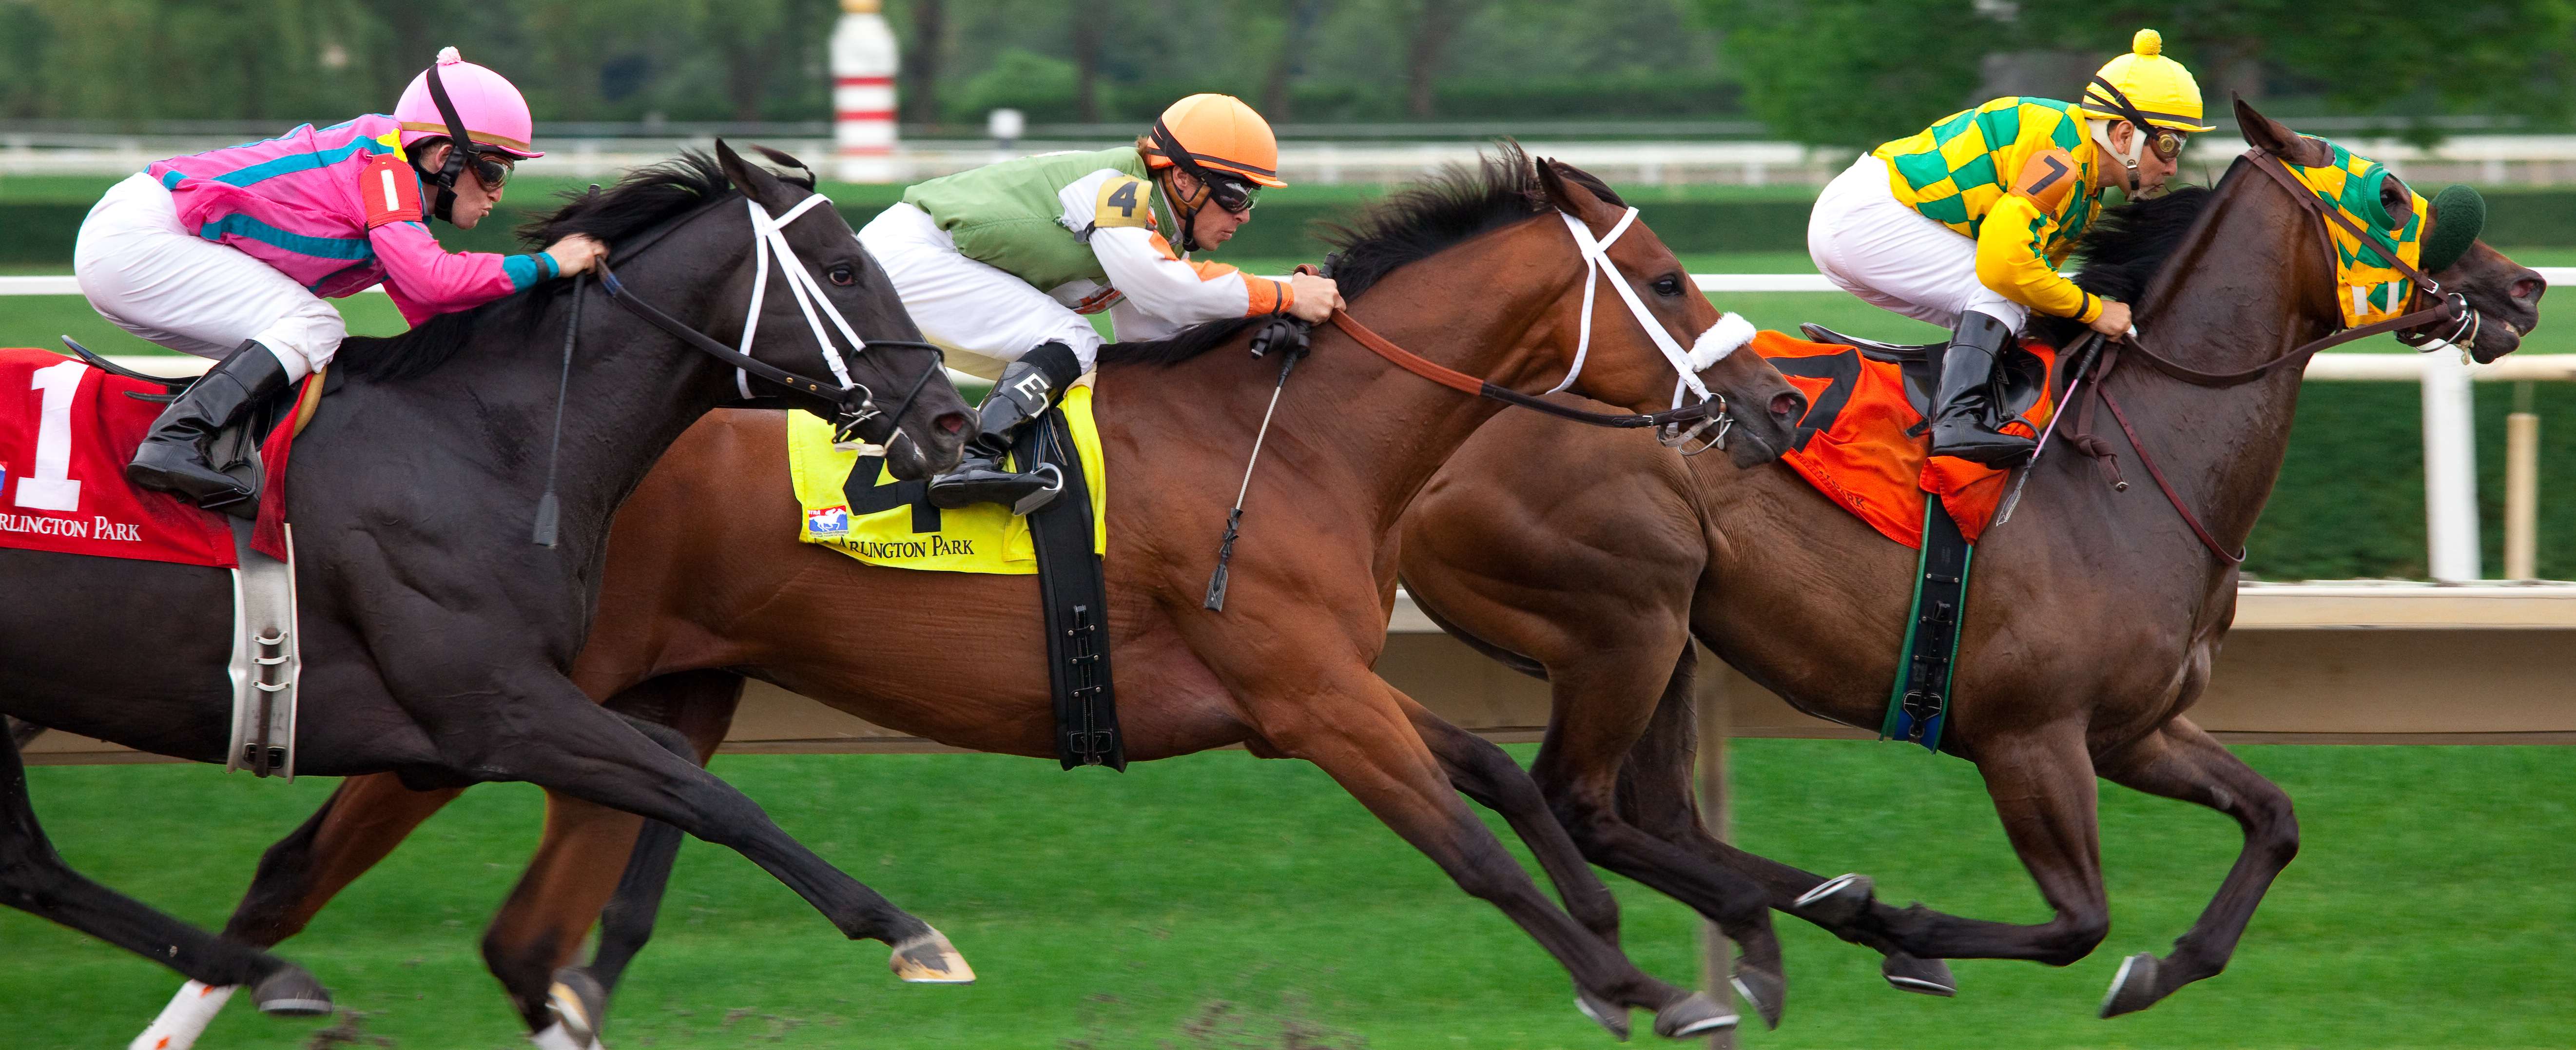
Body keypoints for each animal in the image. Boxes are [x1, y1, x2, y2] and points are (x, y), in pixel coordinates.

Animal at [0, 139, 973, 1024]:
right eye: (845, 269)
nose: (951, 420)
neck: (483, 441)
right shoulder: (492, 710)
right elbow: (714, 795)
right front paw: (908, 931)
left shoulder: (497, 713)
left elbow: (678, 763)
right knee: (29, 864)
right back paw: (273, 974)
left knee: (29, 866)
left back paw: (270, 974)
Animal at [121, 145, 1813, 1039]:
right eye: (1670, 282)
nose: (1779, 409)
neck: (1297, 438)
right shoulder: (1309, 696)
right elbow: (1465, 844)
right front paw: (1642, 980)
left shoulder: (1320, 683)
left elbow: (1495, 781)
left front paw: (1649, 923)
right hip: (491, 699)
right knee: (306, 868)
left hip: (649, 699)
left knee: (499, 922)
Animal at [1391, 98, 2535, 1019]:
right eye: (2391, 192)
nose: (2523, 286)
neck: (2134, 456)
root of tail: (1449, 429)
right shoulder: (2027, 736)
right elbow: (2077, 921)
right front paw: (1919, 935)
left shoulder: (2133, 729)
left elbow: (2274, 820)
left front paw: (2160, 969)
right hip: (1622, 618)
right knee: (1576, 800)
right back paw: (1807, 916)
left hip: (1669, 636)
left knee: (1655, 812)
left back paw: (1808, 905)